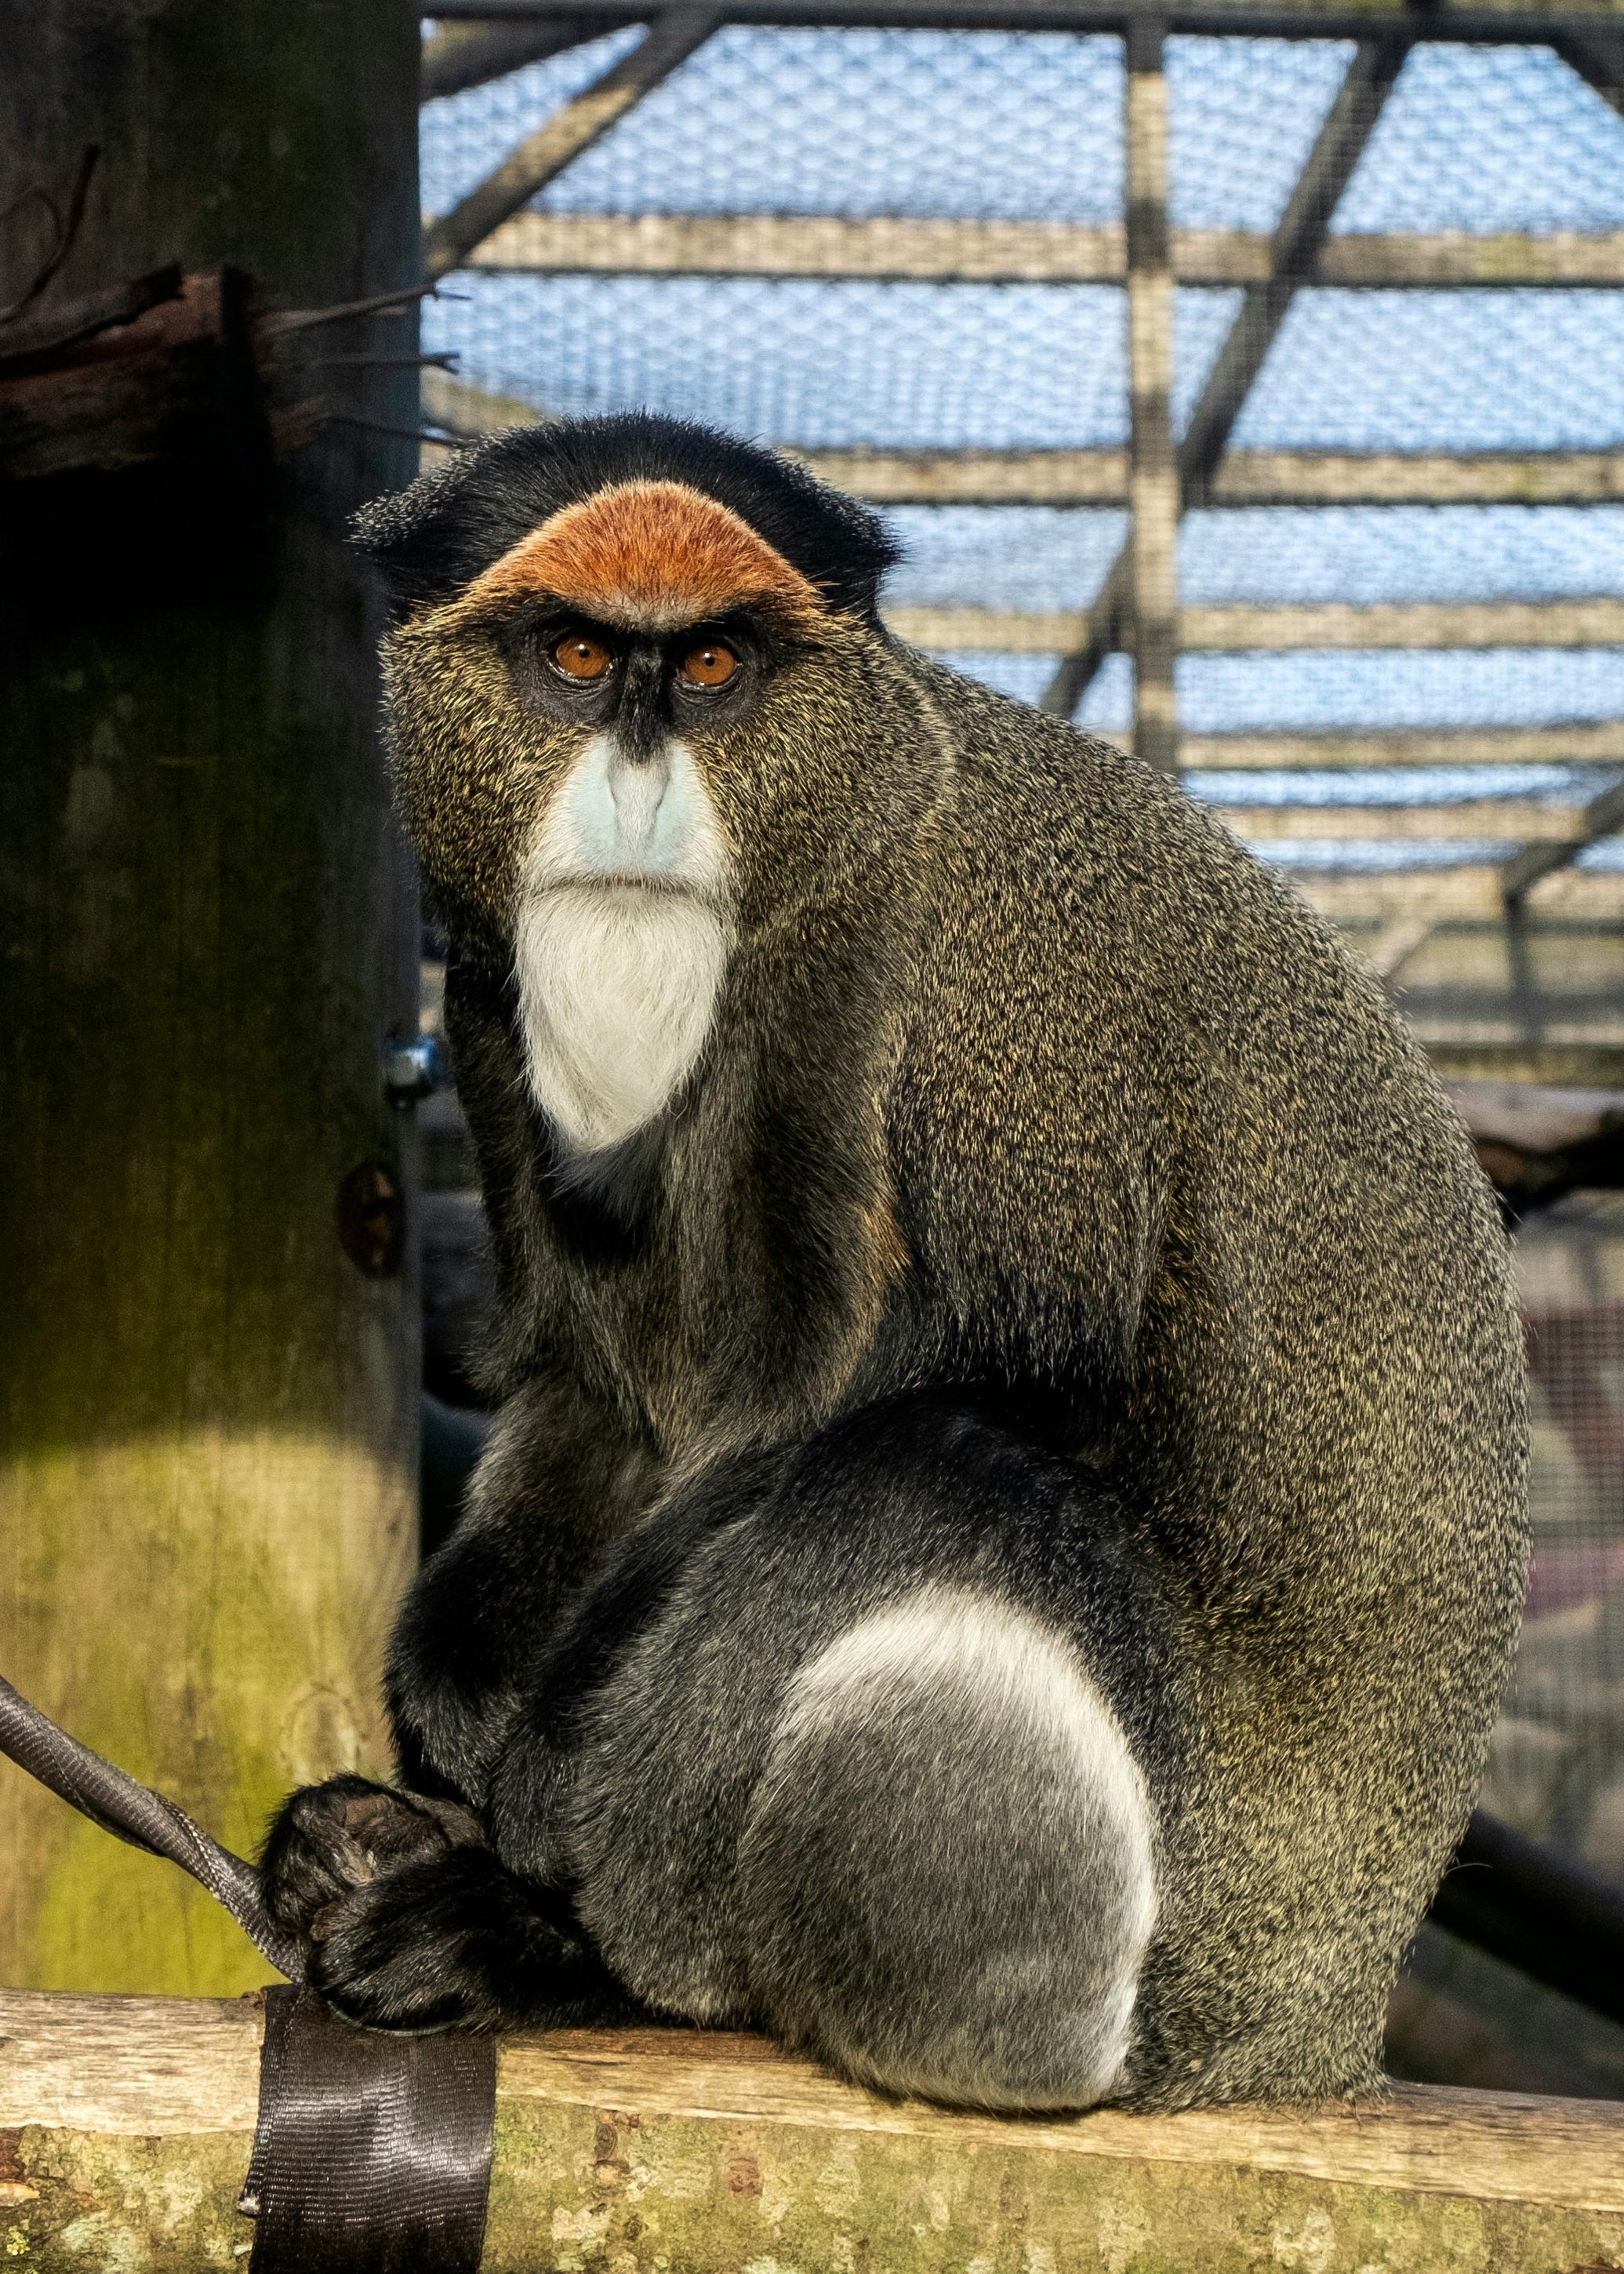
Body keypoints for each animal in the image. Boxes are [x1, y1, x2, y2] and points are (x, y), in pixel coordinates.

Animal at [259, 409, 1528, 2110]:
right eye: (577, 654)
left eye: (714, 667)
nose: (640, 778)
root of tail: (1316, 2037)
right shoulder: (482, 994)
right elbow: (597, 1397)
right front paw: (449, 1692)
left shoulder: (990, 975)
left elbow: (968, 1377)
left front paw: (542, 1774)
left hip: (1193, 1938)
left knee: (930, 1472)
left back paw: (570, 1954)